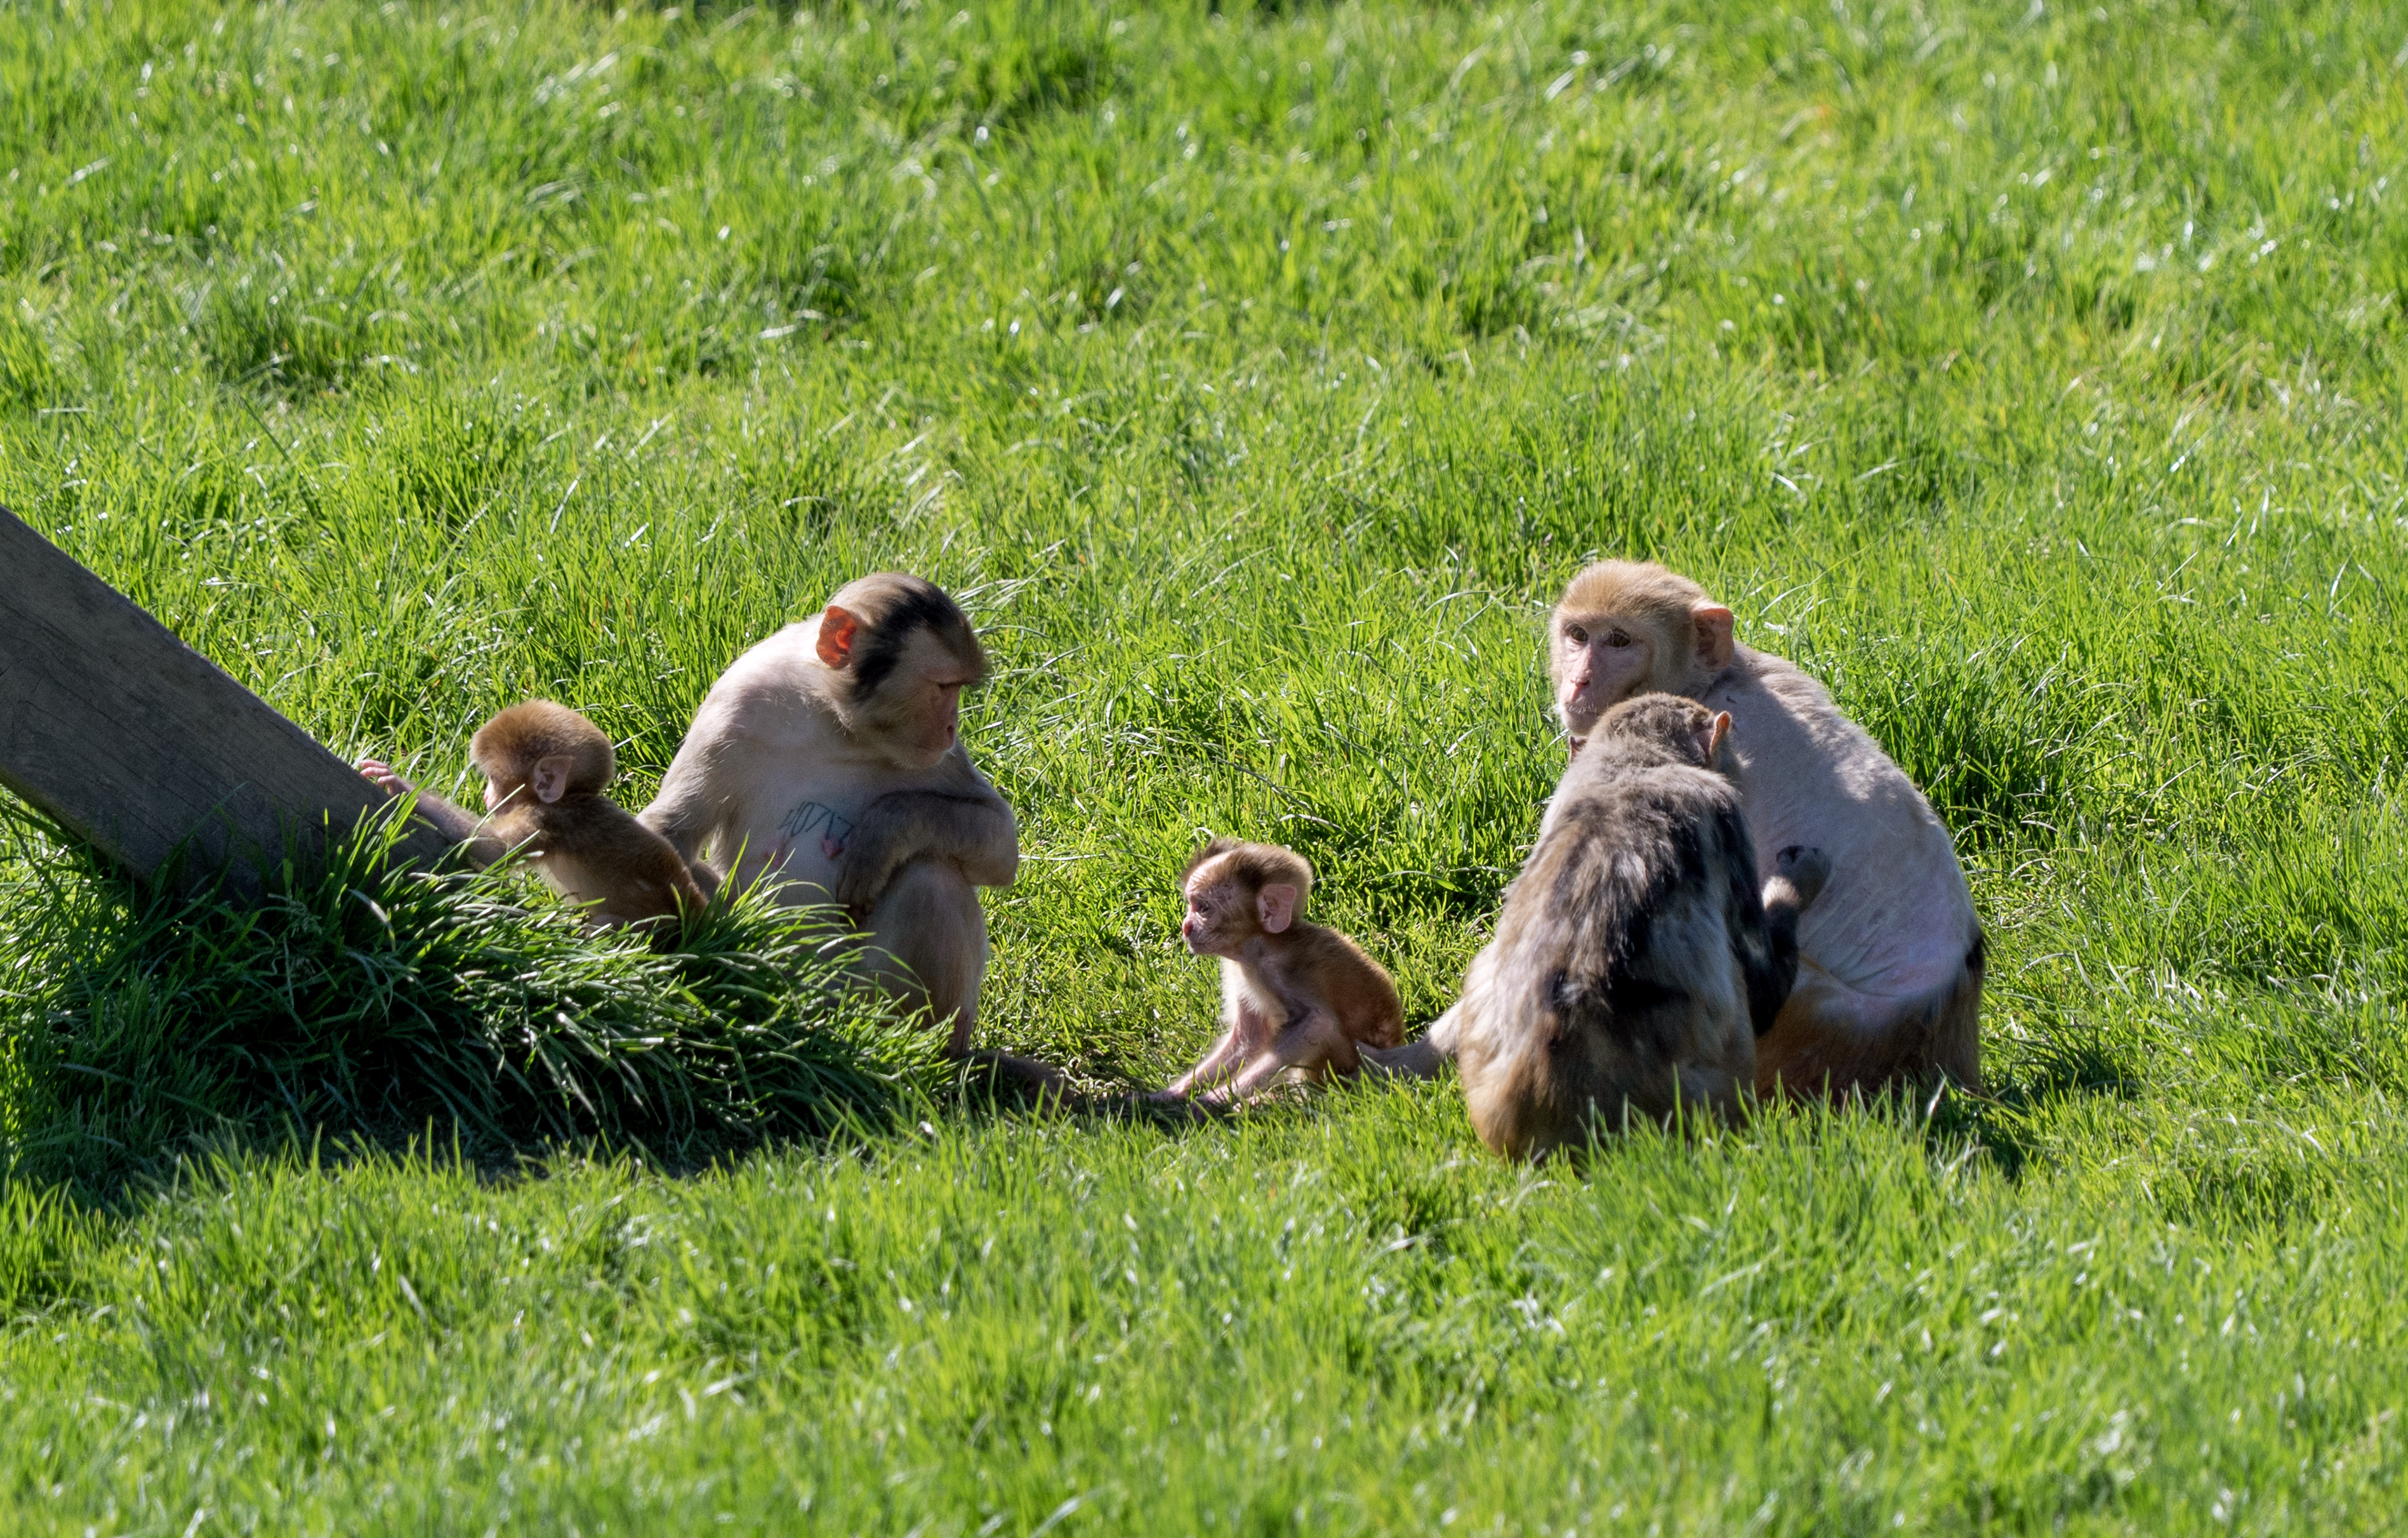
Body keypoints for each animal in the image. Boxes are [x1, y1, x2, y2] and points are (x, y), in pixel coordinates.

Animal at [358, 700, 705, 931]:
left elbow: (496, 850)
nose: (486, 795)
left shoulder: (545, 820)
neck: (572, 799)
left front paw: (403, 788)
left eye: (493, 779)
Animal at [634, 573, 1057, 1089]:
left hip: (861, 999)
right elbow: (671, 833)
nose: (952, 728)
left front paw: (885, 830)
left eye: (956, 687)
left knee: (930, 878)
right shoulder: (735, 706)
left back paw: (919, 1059)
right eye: (941, 686)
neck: (834, 721)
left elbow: (999, 841)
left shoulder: (935, 759)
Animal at [1159, 838, 1406, 1106]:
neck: (1260, 944)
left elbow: (1317, 1023)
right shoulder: (1240, 970)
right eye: (1190, 906)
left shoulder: (1276, 970)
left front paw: (1215, 1098)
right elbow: (1249, 1040)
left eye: (1203, 908)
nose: (1186, 926)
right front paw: (1170, 1094)